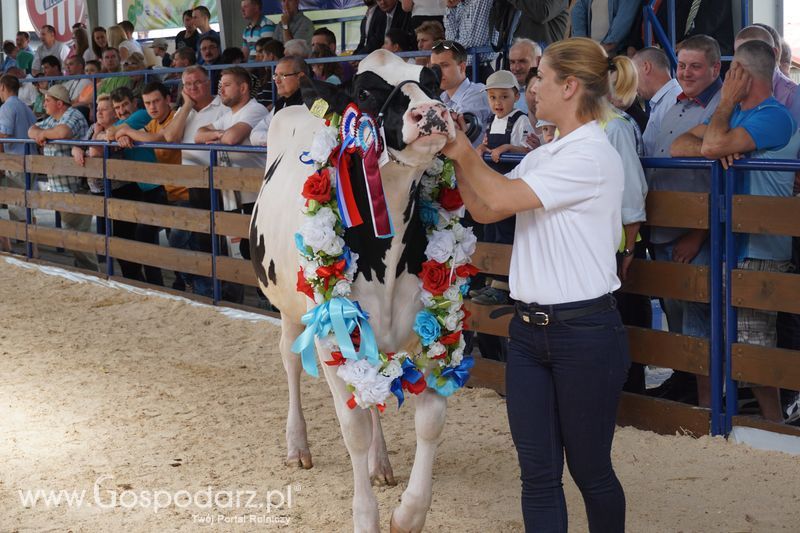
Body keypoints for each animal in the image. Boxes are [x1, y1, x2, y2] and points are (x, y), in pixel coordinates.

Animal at [248, 47, 456, 528]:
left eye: (432, 81)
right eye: (364, 92)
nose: (432, 112)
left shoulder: (429, 328)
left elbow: (430, 420)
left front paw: (408, 515)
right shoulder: (331, 335)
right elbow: (353, 429)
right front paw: (365, 518)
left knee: (373, 390)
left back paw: (381, 464)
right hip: (289, 310)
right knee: (290, 362)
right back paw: (297, 445)